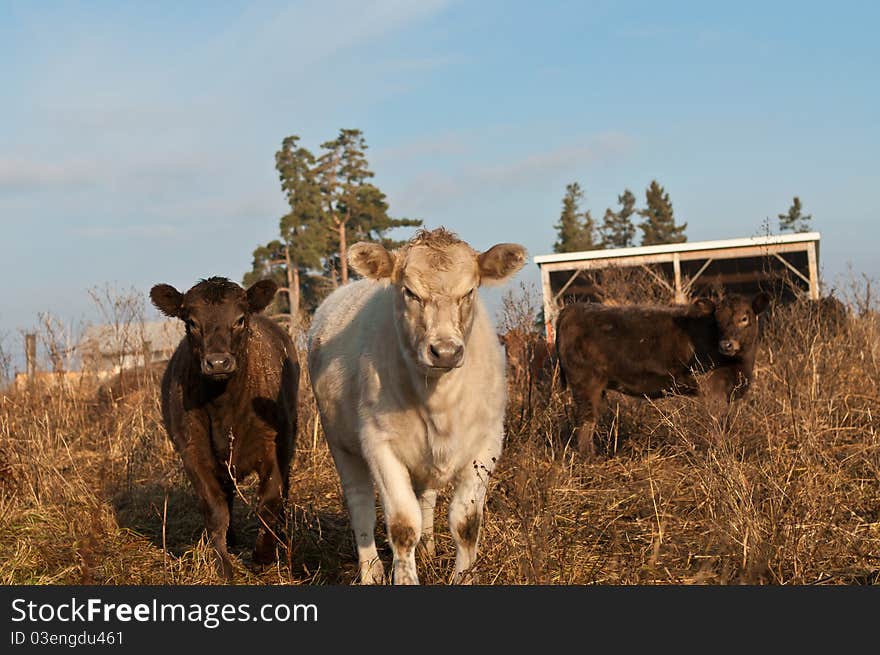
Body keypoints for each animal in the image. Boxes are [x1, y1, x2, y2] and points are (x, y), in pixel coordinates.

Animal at [150, 276, 300, 580]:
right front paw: (223, 565)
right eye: (191, 322)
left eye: (240, 319)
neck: (223, 408)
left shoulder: (275, 446)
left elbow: (269, 501)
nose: (218, 362)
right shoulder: (193, 453)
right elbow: (215, 509)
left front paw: (263, 557)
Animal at [556, 294, 768, 458]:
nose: (726, 344)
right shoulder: (713, 390)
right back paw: (590, 458)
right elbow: (717, 424)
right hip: (585, 384)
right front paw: (721, 453)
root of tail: (572, 308)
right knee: (585, 421)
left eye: (744, 318)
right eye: (717, 321)